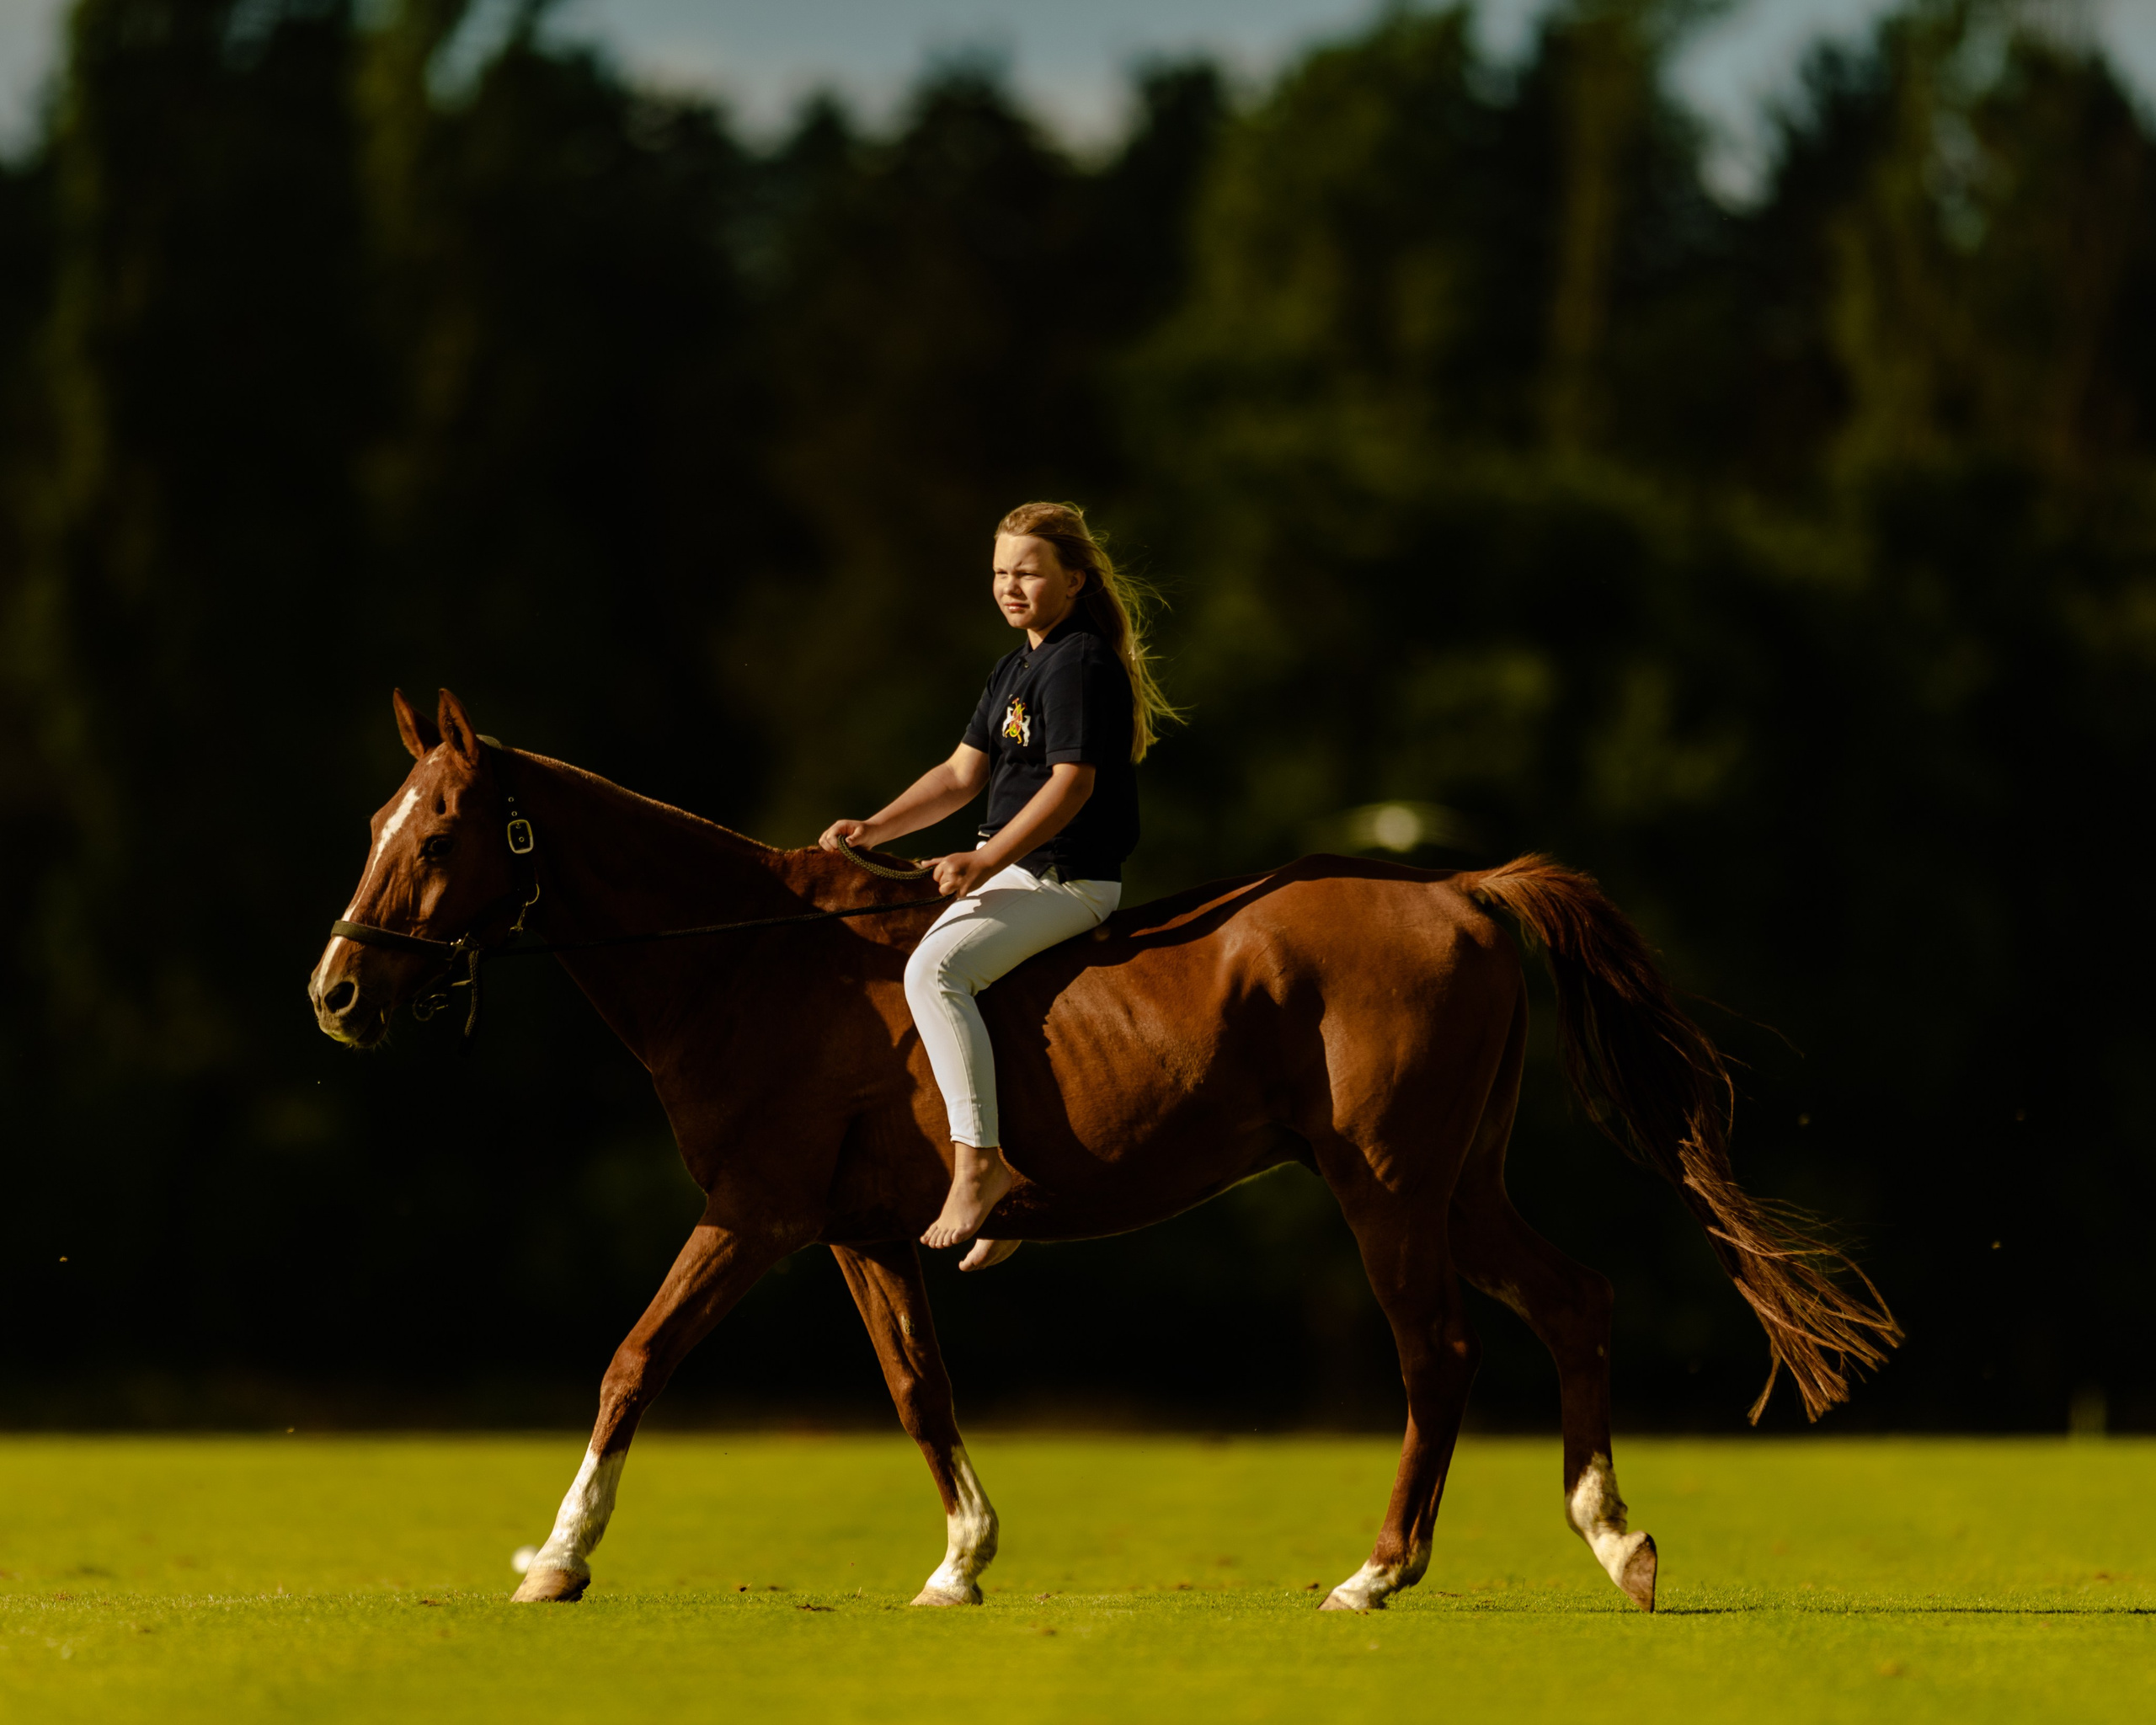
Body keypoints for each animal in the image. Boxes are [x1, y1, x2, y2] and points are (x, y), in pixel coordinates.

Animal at [308, 688, 1899, 1614]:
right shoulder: (861, 1236)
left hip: (1386, 1186)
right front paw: (963, 1560)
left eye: (439, 831)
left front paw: (556, 1559)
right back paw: (1614, 1538)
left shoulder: (753, 1215)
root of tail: (1458, 888)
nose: (335, 994)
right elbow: (919, 1391)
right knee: (1572, 1301)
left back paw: (1380, 1571)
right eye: (378, 816)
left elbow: (631, 1360)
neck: (742, 961)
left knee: (1438, 1355)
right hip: (1460, 1181)